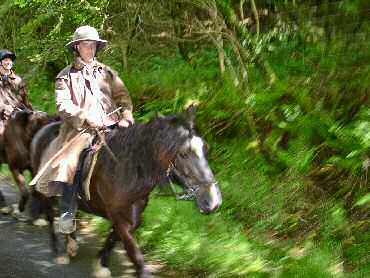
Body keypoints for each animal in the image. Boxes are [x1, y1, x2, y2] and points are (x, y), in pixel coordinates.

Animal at [30, 105, 221, 278]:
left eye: (206, 148)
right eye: (183, 154)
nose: (213, 201)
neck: (124, 170)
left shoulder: (127, 218)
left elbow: (112, 239)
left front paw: (101, 265)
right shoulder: (121, 219)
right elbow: (135, 255)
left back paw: (71, 243)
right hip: (46, 192)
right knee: (51, 215)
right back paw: (60, 252)